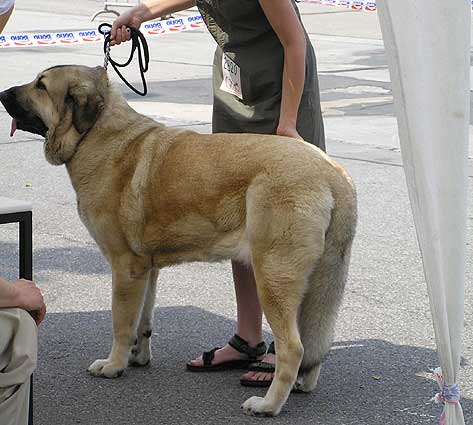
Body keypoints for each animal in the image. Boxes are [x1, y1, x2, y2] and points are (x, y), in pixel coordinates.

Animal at [0, 64, 354, 416]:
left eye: (41, 86)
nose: (2, 94)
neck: (96, 134)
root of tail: (333, 172)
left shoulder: (125, 267)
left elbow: (121, 322)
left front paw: (114, 365)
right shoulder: (147, 270)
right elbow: (143, 320)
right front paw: (138, 357)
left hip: (273, 277)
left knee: (293, 347)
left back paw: (268, 404)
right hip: (312, 283)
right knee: (315, 338)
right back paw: (303, 384)